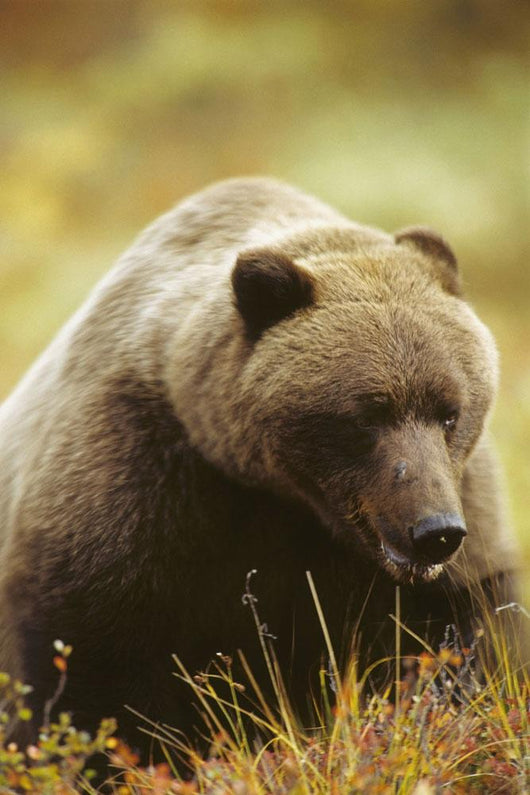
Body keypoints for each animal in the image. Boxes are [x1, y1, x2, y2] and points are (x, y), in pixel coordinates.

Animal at [0, 177, 523, 757]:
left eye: (450, 411)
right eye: (369, 414)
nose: (433, 531)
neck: (278, 491)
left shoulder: (455, 523)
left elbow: (459, 638)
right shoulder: (131, 482)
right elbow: (95, 677)